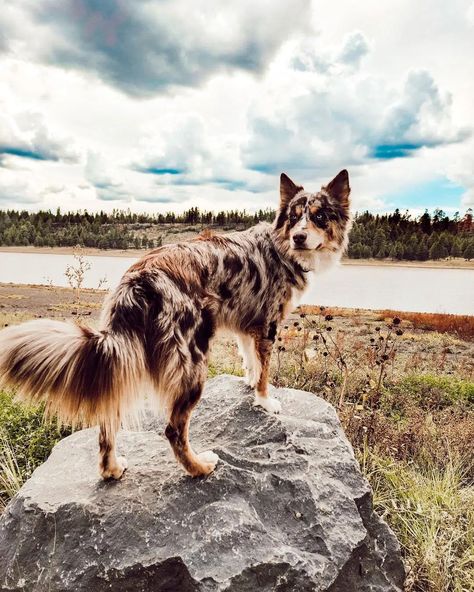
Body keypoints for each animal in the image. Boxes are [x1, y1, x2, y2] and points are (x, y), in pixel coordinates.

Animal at [0, 169, 348, 478]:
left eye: (318, 216)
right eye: (294, 217)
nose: (300, 236)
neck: (280, 245)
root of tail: (139, 279)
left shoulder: (248, 323)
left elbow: (251, 361)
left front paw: (250, 382)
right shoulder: (268, 323)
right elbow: (264, 370)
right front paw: (265, 400)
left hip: (124, 362)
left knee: (107, 420)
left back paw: (112, 470)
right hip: (193, 361)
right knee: (173, 430)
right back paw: (199, 468)